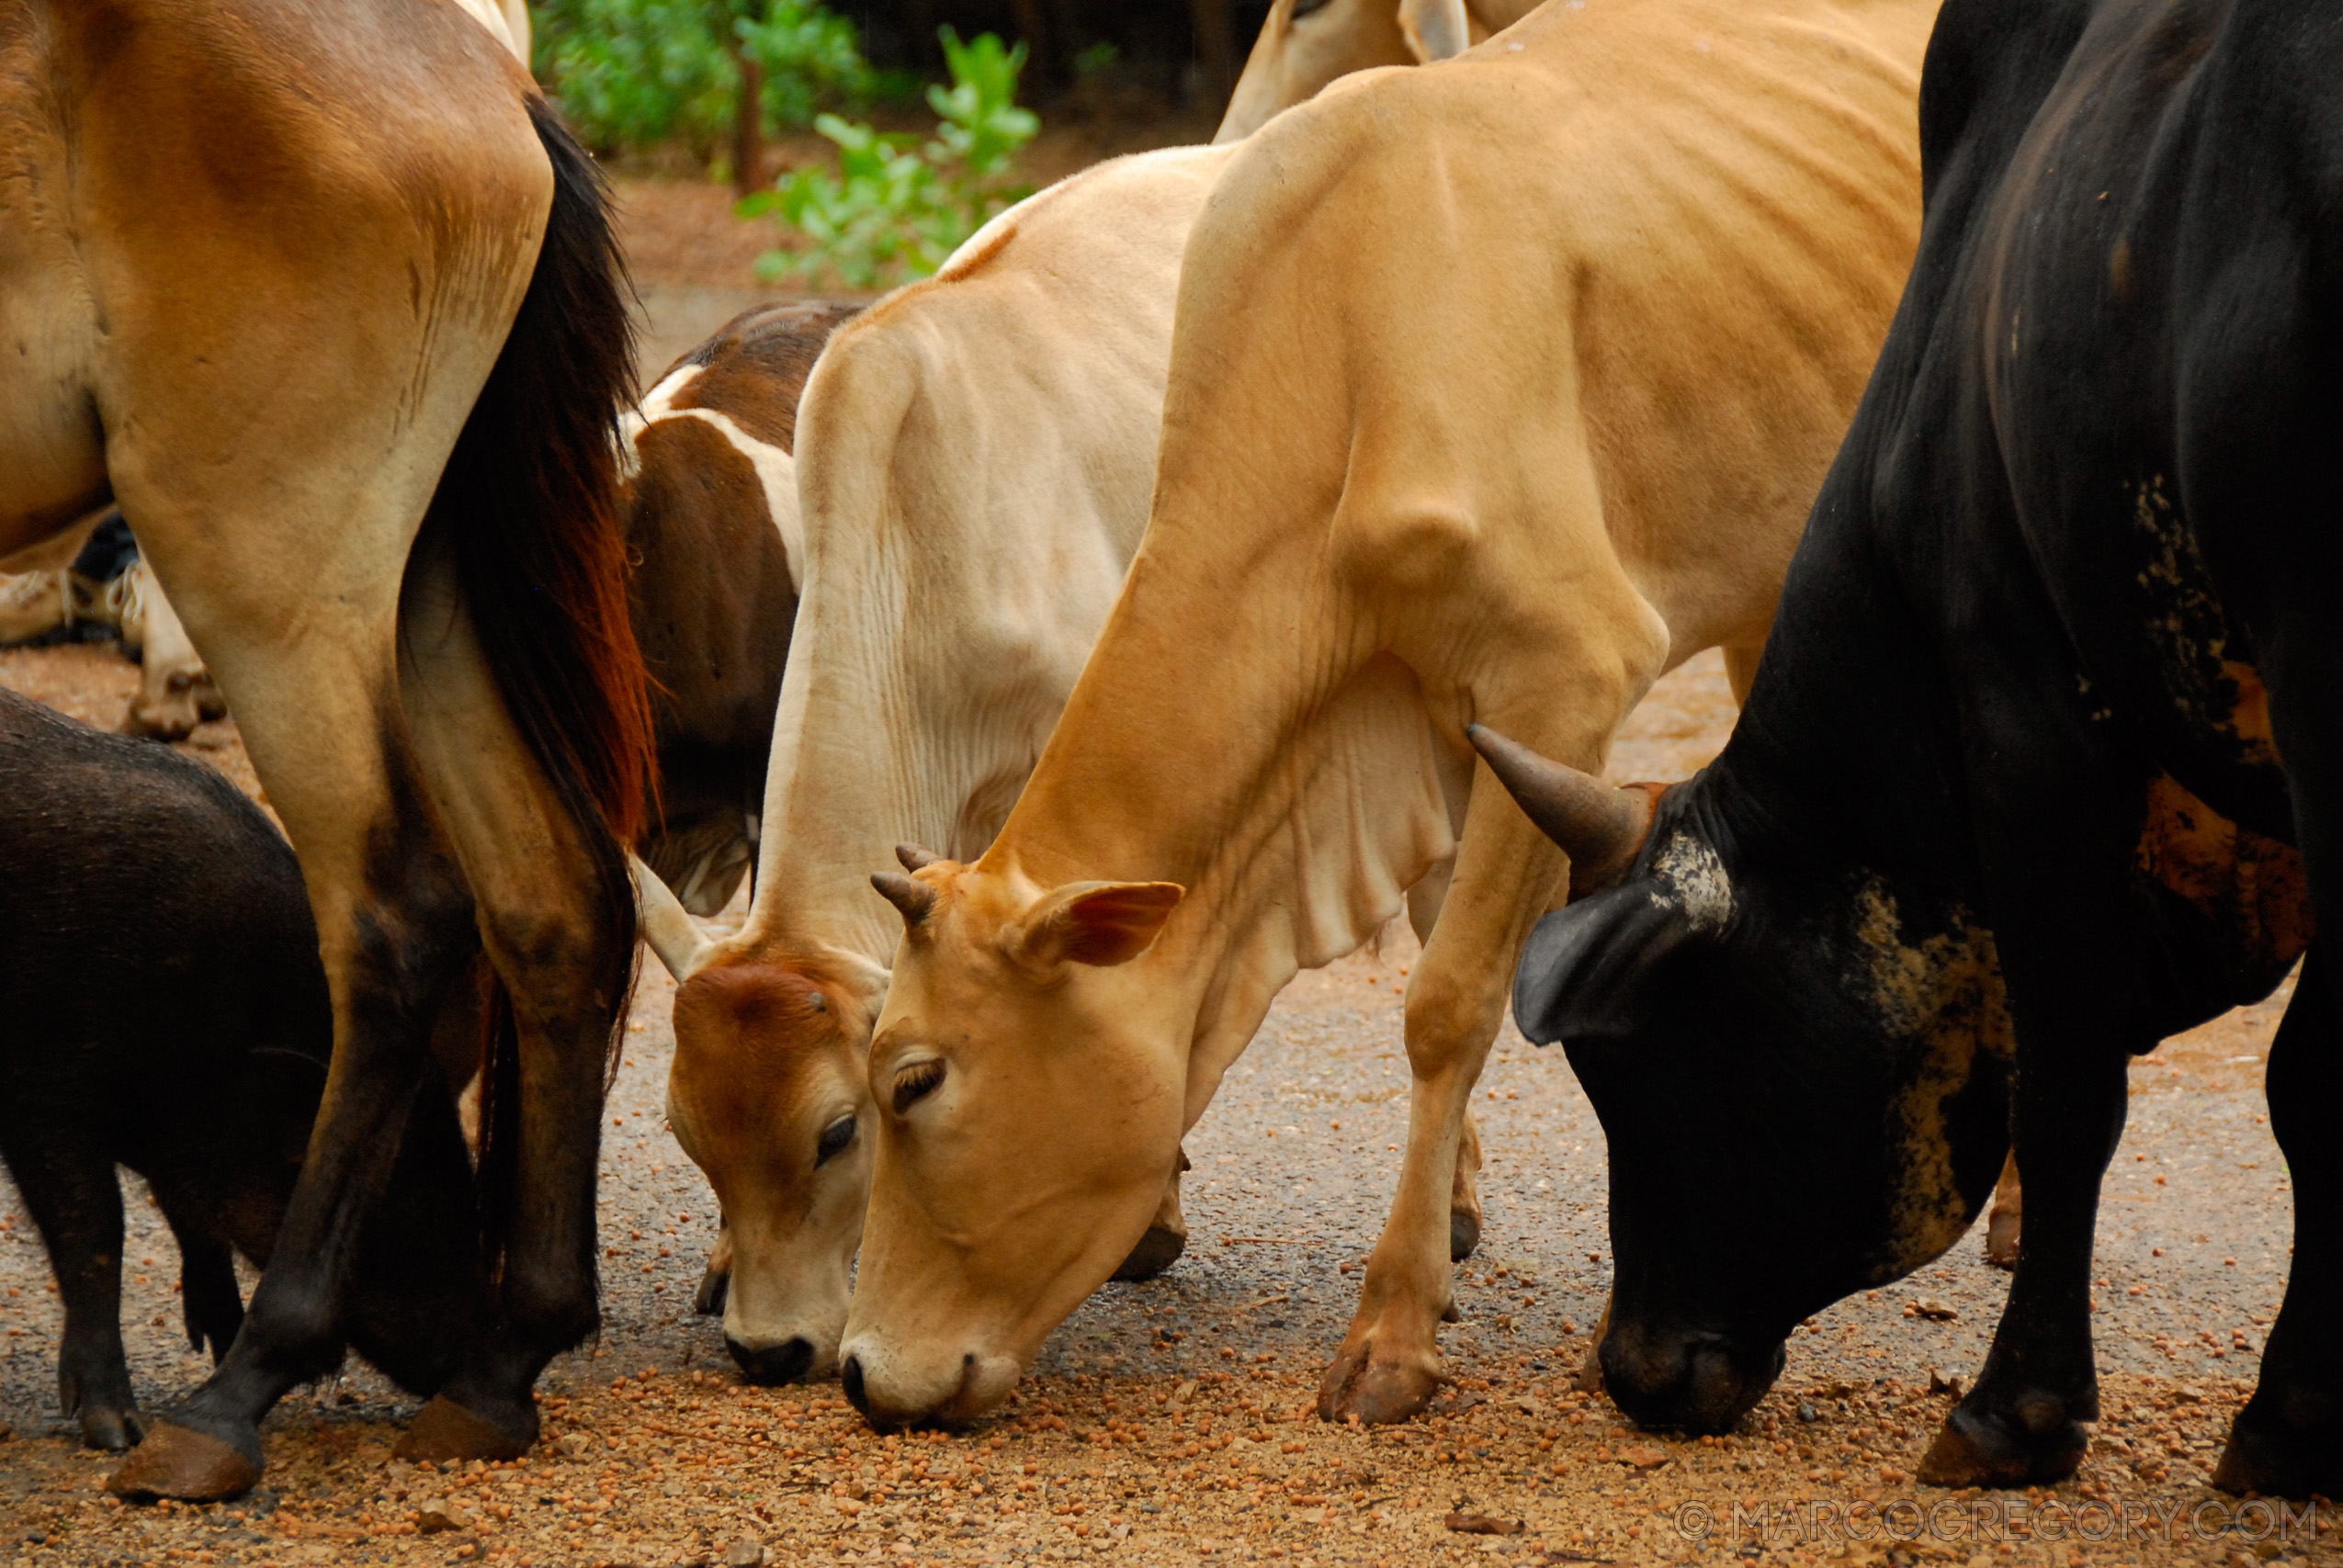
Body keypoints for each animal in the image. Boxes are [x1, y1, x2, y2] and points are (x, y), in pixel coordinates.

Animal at [0, 689, 484, 1452]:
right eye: (403, 1204)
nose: (478, 1363)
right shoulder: (42, 1095)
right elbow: (98, 1231)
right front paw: (120, 1432)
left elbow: (193, 1218)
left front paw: (221, 1343)